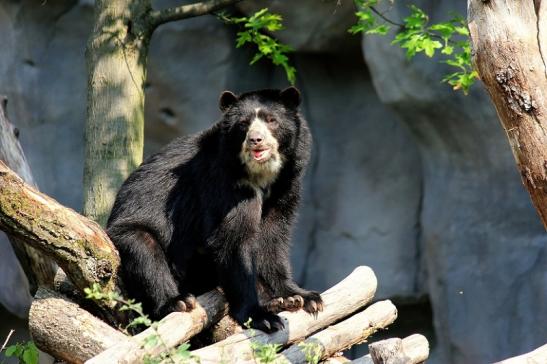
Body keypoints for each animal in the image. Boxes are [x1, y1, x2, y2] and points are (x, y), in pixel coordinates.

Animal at [105, 86, 324, 332]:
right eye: (244, 124)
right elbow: (233, 241)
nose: (255, 140)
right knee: (145, 250)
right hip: (135, 237)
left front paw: (302, 296)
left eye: (271, 120)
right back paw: (177, 301)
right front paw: (262, 317)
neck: (260, 175)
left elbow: (272, 238)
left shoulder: (285, 186)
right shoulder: (222, 184)